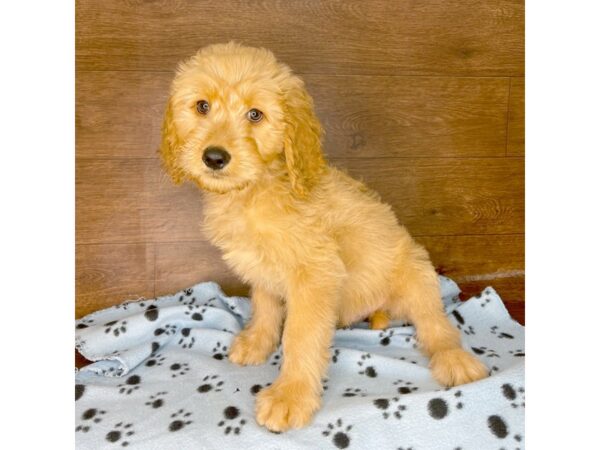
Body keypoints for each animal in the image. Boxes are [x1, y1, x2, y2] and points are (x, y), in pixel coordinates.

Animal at [159, 43, 488, 432]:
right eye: (202, 106)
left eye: (255, 114)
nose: (213, 157)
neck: (256, 191)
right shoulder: (262, 268)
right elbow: (265, 308)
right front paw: (257, 343)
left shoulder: (315, 274)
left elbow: (300, 337)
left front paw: (290, 396)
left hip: (417, 274)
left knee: (436, 324)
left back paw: (455, 360)